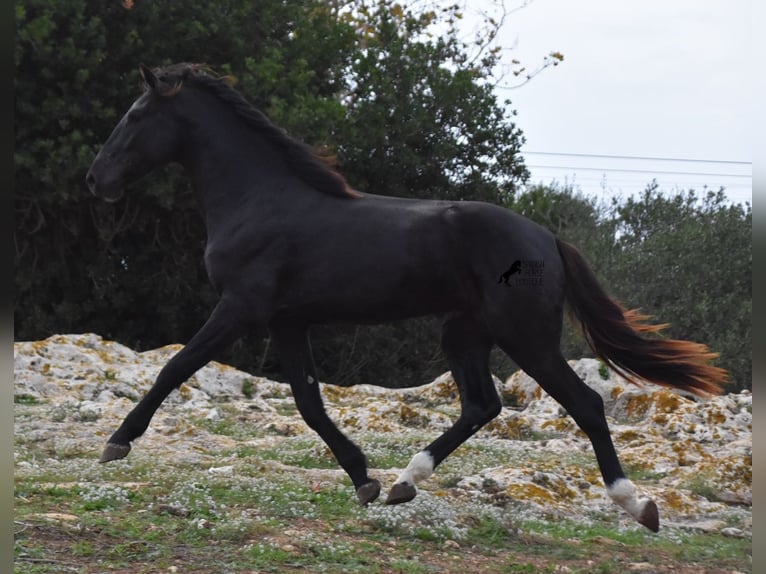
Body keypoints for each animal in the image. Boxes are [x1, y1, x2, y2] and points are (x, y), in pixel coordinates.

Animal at [87, 64, 728, 536]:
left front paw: (117, 443)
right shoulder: (288, 323)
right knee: (481, 406)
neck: (259, 200)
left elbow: (176, 366)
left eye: (137, 115)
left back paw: (638, 505)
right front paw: (363, 478)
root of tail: (546, 238)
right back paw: (403, 482)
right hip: (463, 332)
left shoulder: (242, 308)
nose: (97, 180)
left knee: (585, 404)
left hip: (524, 336)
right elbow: (309, 402)